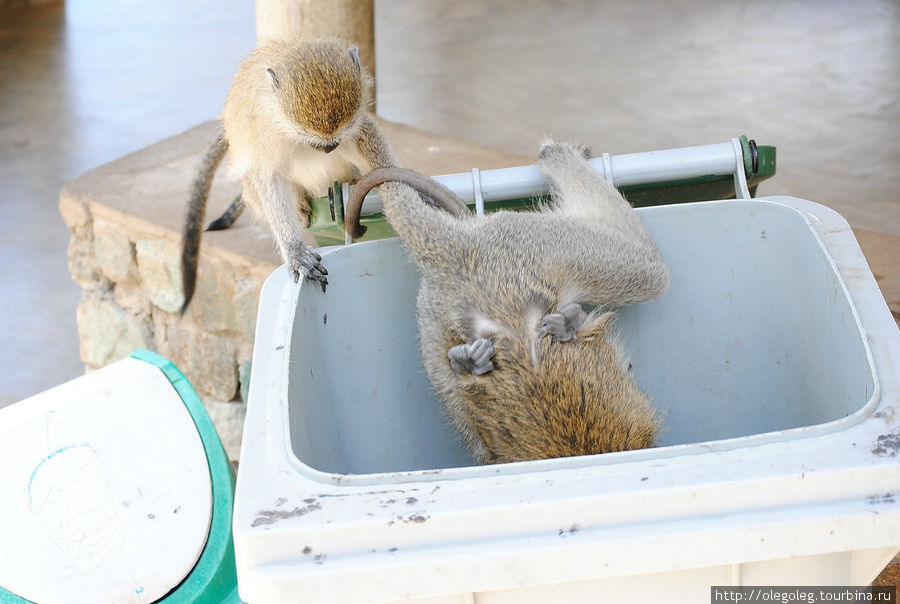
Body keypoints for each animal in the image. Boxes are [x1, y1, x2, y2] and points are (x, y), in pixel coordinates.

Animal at [179, 37, 398, 312]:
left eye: (334, 141)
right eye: (313, 142)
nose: (329, 148)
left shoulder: (355, 126)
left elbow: (370, 142)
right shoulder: (263, 133)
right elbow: (266, 178)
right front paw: (294, 251)